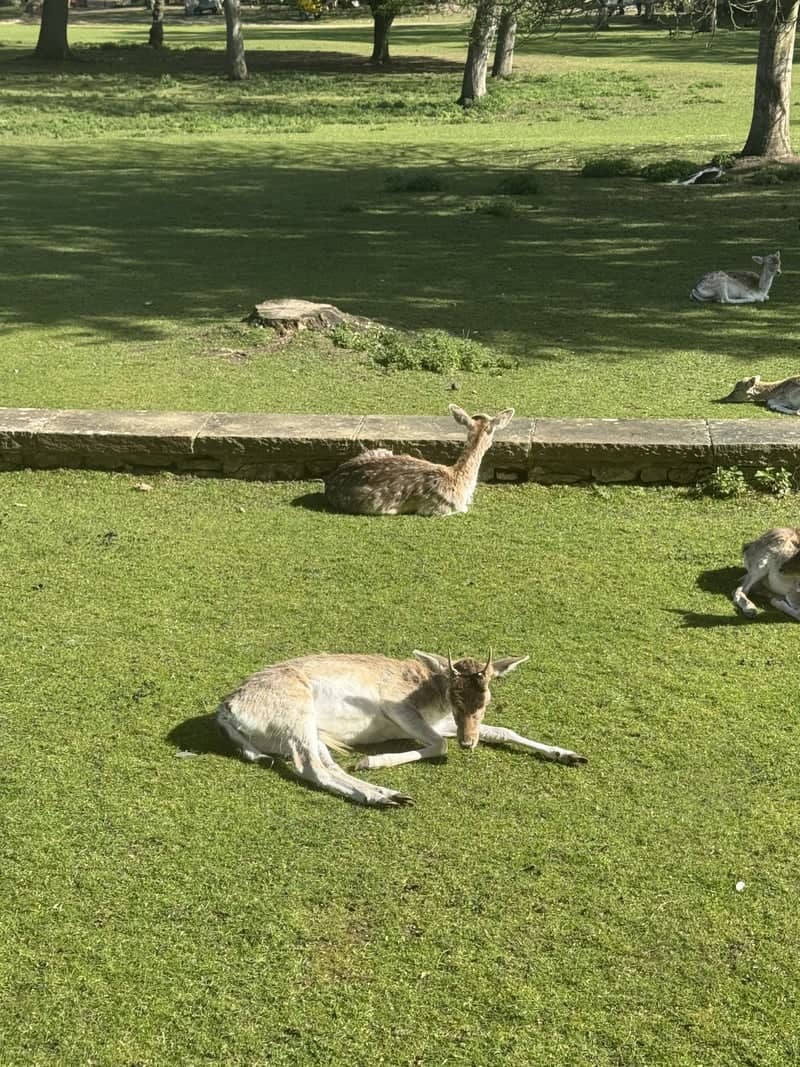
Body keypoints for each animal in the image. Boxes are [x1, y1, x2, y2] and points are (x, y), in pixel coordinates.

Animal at [216, 650, 587, 807]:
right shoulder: (396, 706)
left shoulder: (445, 723)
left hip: (304, 733)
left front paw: (570, 754)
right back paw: (385, 796)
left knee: (326, 764)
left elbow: (503, 731)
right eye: (454, 692)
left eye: (487, 696)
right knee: (312, 767)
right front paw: (373, 760)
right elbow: (438, 745)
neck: (432, 695)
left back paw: (386, 792)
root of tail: (226, 710)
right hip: (297, 714)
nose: (468, 743)